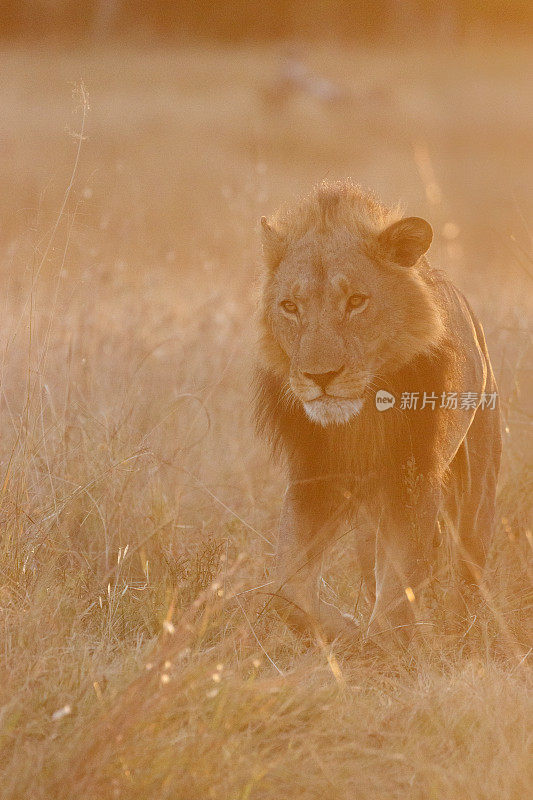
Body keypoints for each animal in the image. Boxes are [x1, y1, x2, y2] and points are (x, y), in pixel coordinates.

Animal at [254, 178, 498, 648]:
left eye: (356, 301)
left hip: (476, 481)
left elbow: (399, 587)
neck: (361, 417)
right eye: (290, 307)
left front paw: (388, 645)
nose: (320, 376)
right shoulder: (315, 477)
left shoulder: (414, 475)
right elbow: (285, 583)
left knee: (469, 563)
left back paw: (471, 625)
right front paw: (343, 629)